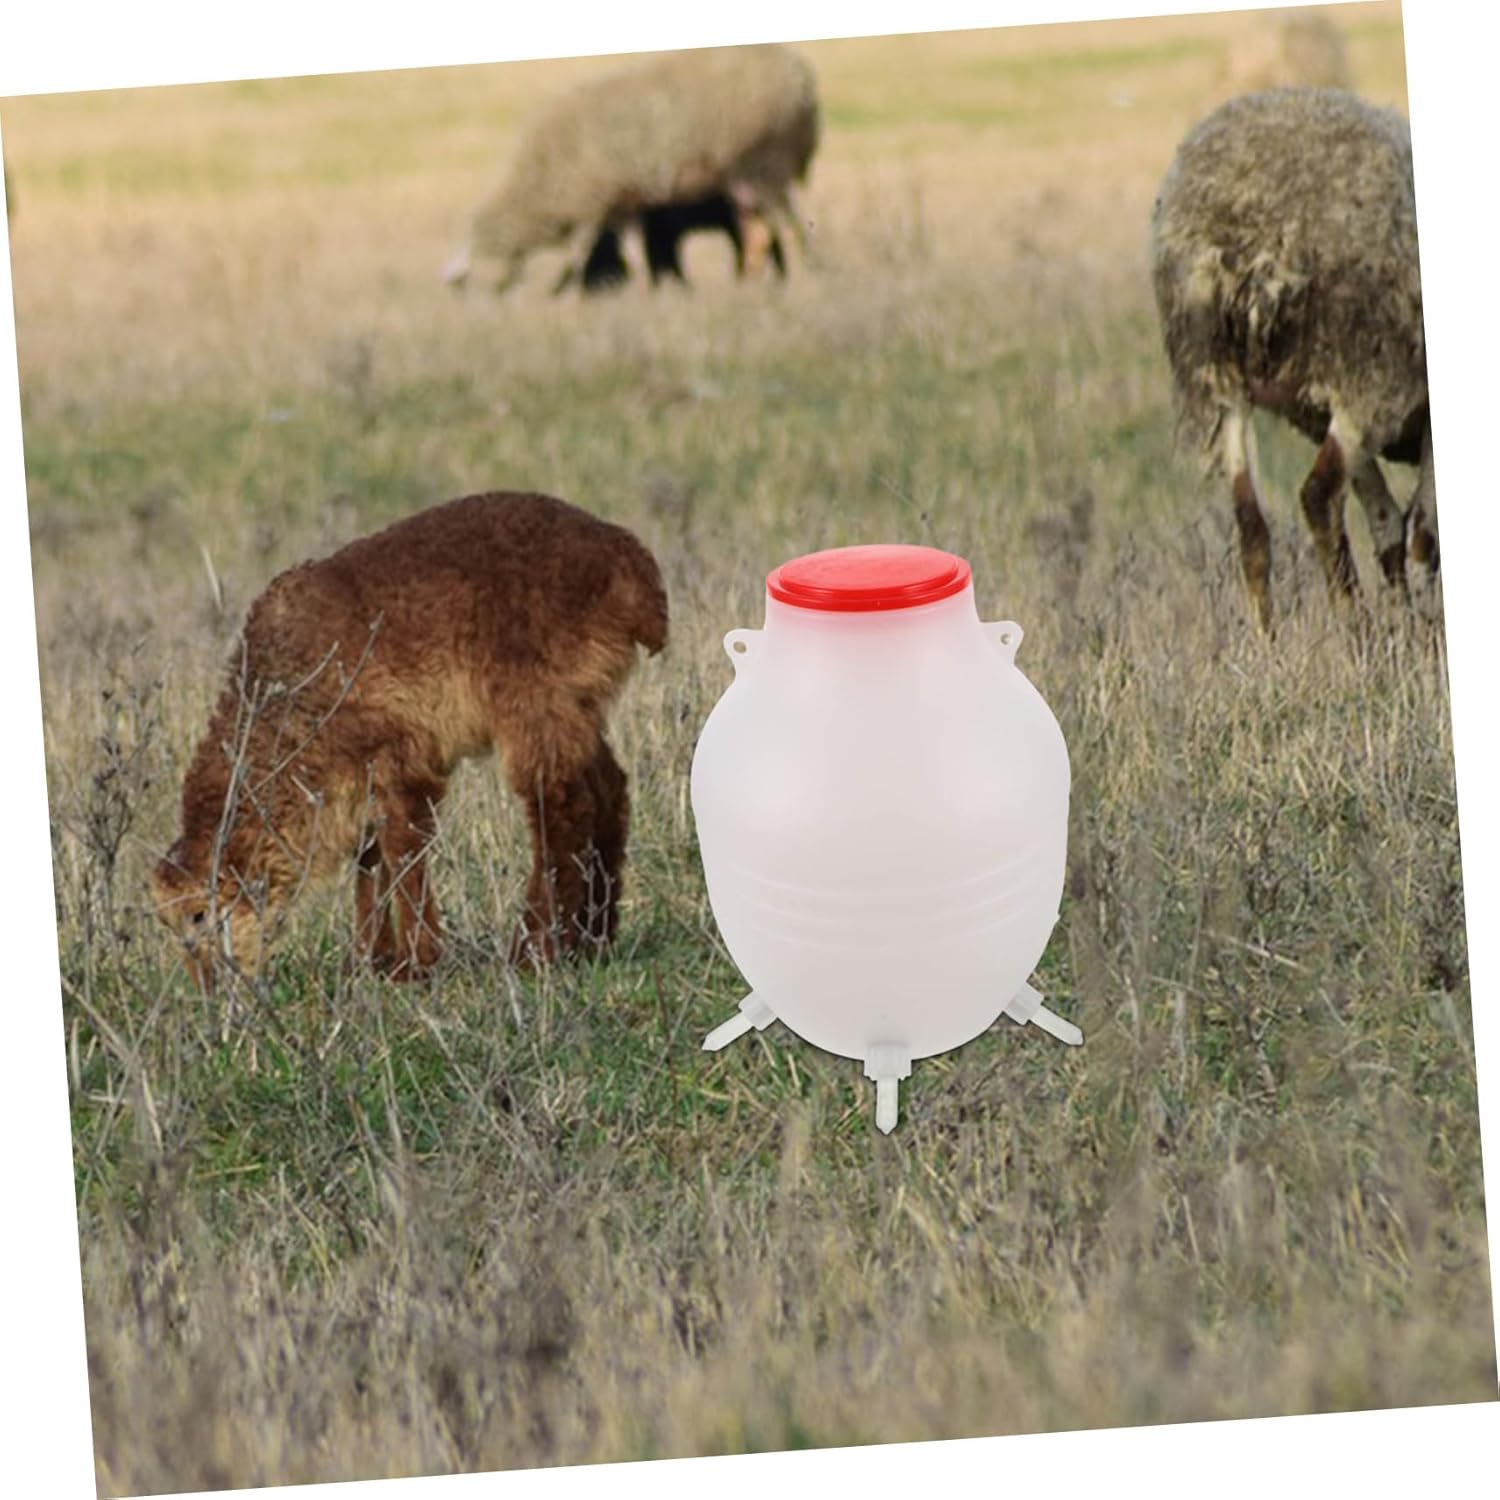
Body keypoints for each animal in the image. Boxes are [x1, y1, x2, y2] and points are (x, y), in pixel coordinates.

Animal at [151, 491, 668, 986]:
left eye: (199, 915)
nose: (209, 990)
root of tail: (630, 564)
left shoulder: (403, 759)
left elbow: (403, 851)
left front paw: (414, 964)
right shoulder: (357, 780)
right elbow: (371, 858)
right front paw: (368, 961)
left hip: (535, 703)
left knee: (561, 809)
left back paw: (536, 949)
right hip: (577, 703)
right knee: (609, 791)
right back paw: (595, 937)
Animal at [444, 43, 818, 295]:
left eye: (472, 275)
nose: (455, 282)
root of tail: (800, 73)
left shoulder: (591, 206)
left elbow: (578, 256)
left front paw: (565, 290)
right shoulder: (623, 204)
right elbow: (634, 251)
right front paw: (645, 289)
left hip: (767, 163)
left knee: (783, 227)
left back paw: (799, 277)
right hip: (748, 179)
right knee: (762, 230)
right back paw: (759, 282)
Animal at [1150, 87, 1433, 631]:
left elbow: (1389, 524)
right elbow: (1421, 536)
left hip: (1220, 380)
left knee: (1251, 525)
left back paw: (1267, 643)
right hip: (1367, 372)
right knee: (1319, 497)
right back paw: (1354, 629)